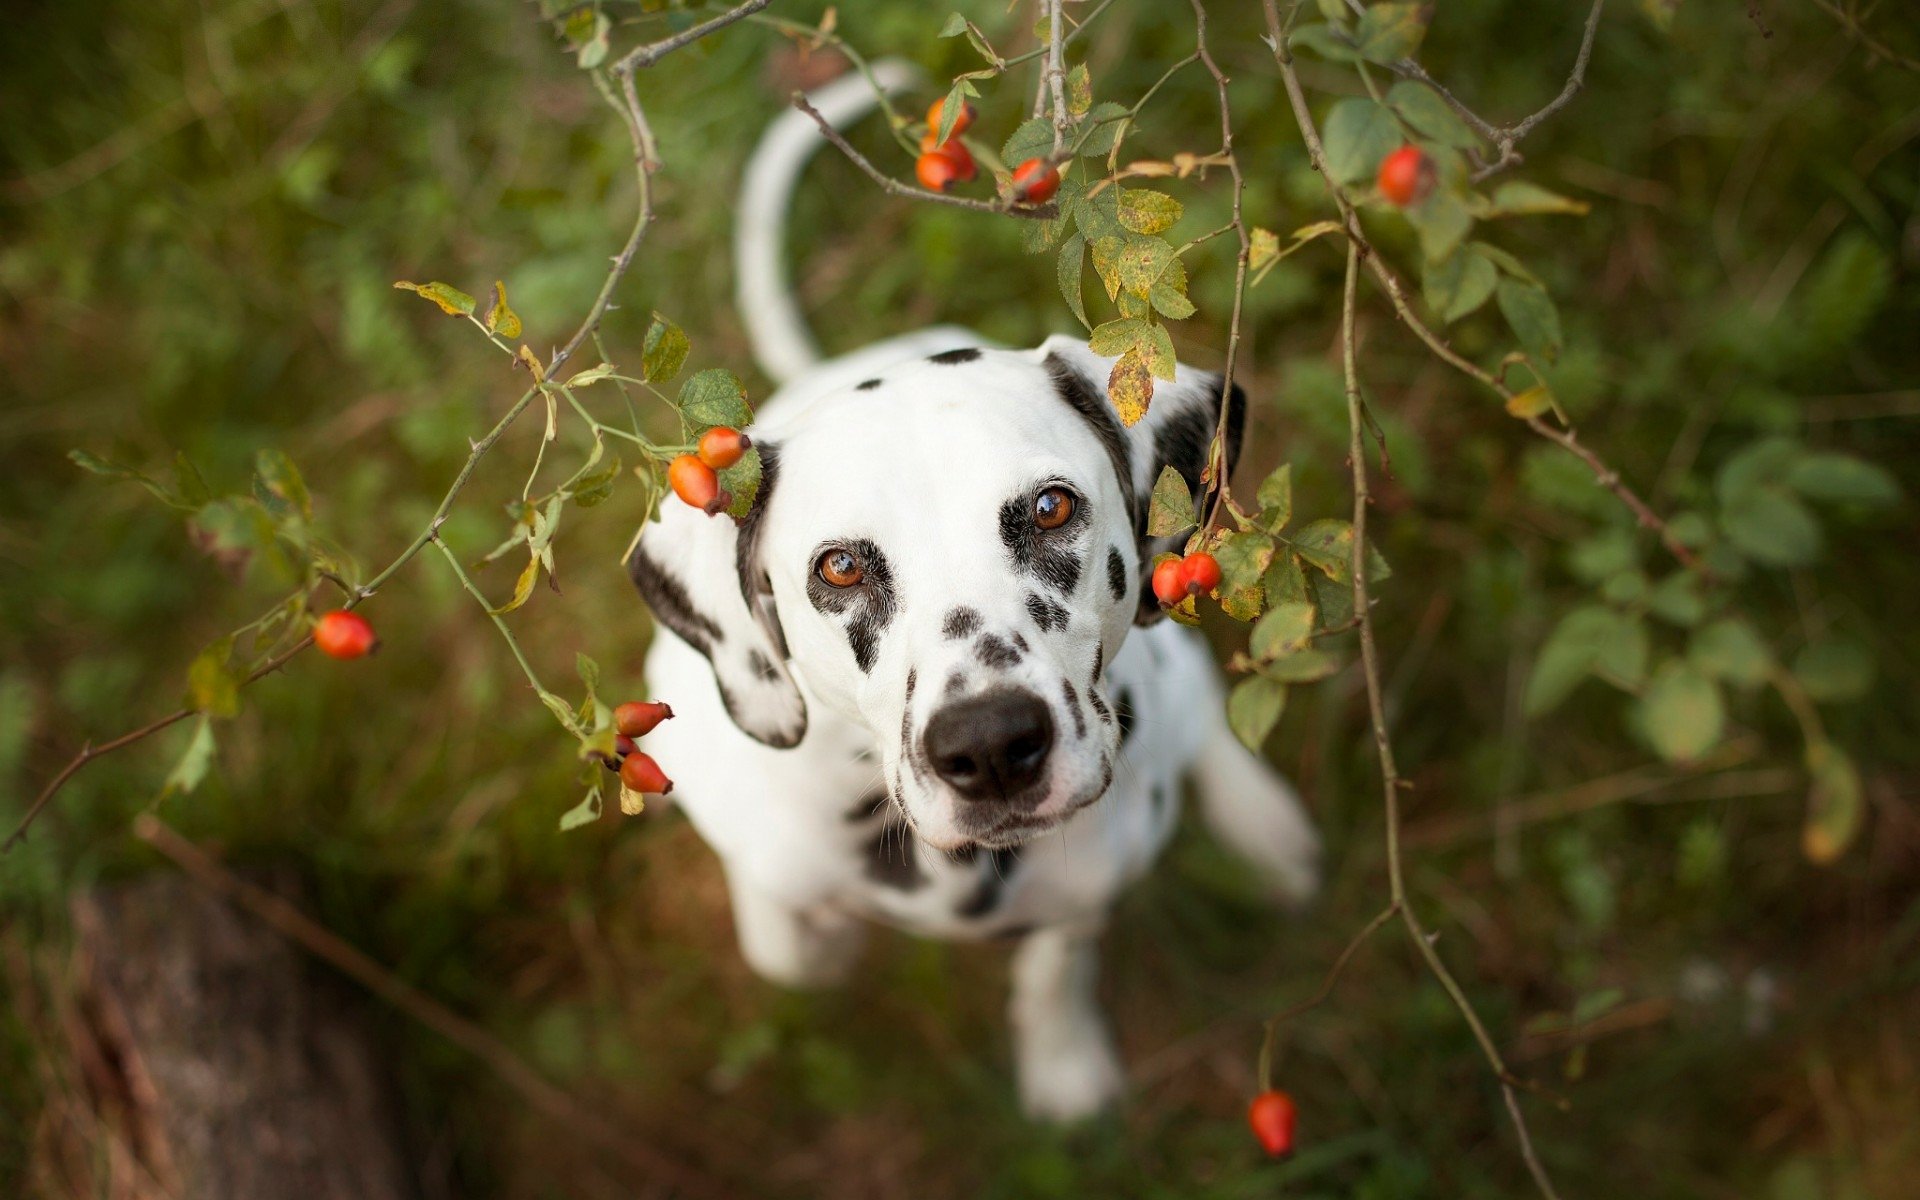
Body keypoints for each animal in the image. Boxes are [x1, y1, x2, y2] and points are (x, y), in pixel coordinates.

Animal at [629, 65, 1320, 1121]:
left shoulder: (1090, 890)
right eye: (840, 567)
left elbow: (1056, 967)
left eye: (1049, 508)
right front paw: (821, 929)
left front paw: (1063, 1064)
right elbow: (789, 942)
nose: (991, 746)